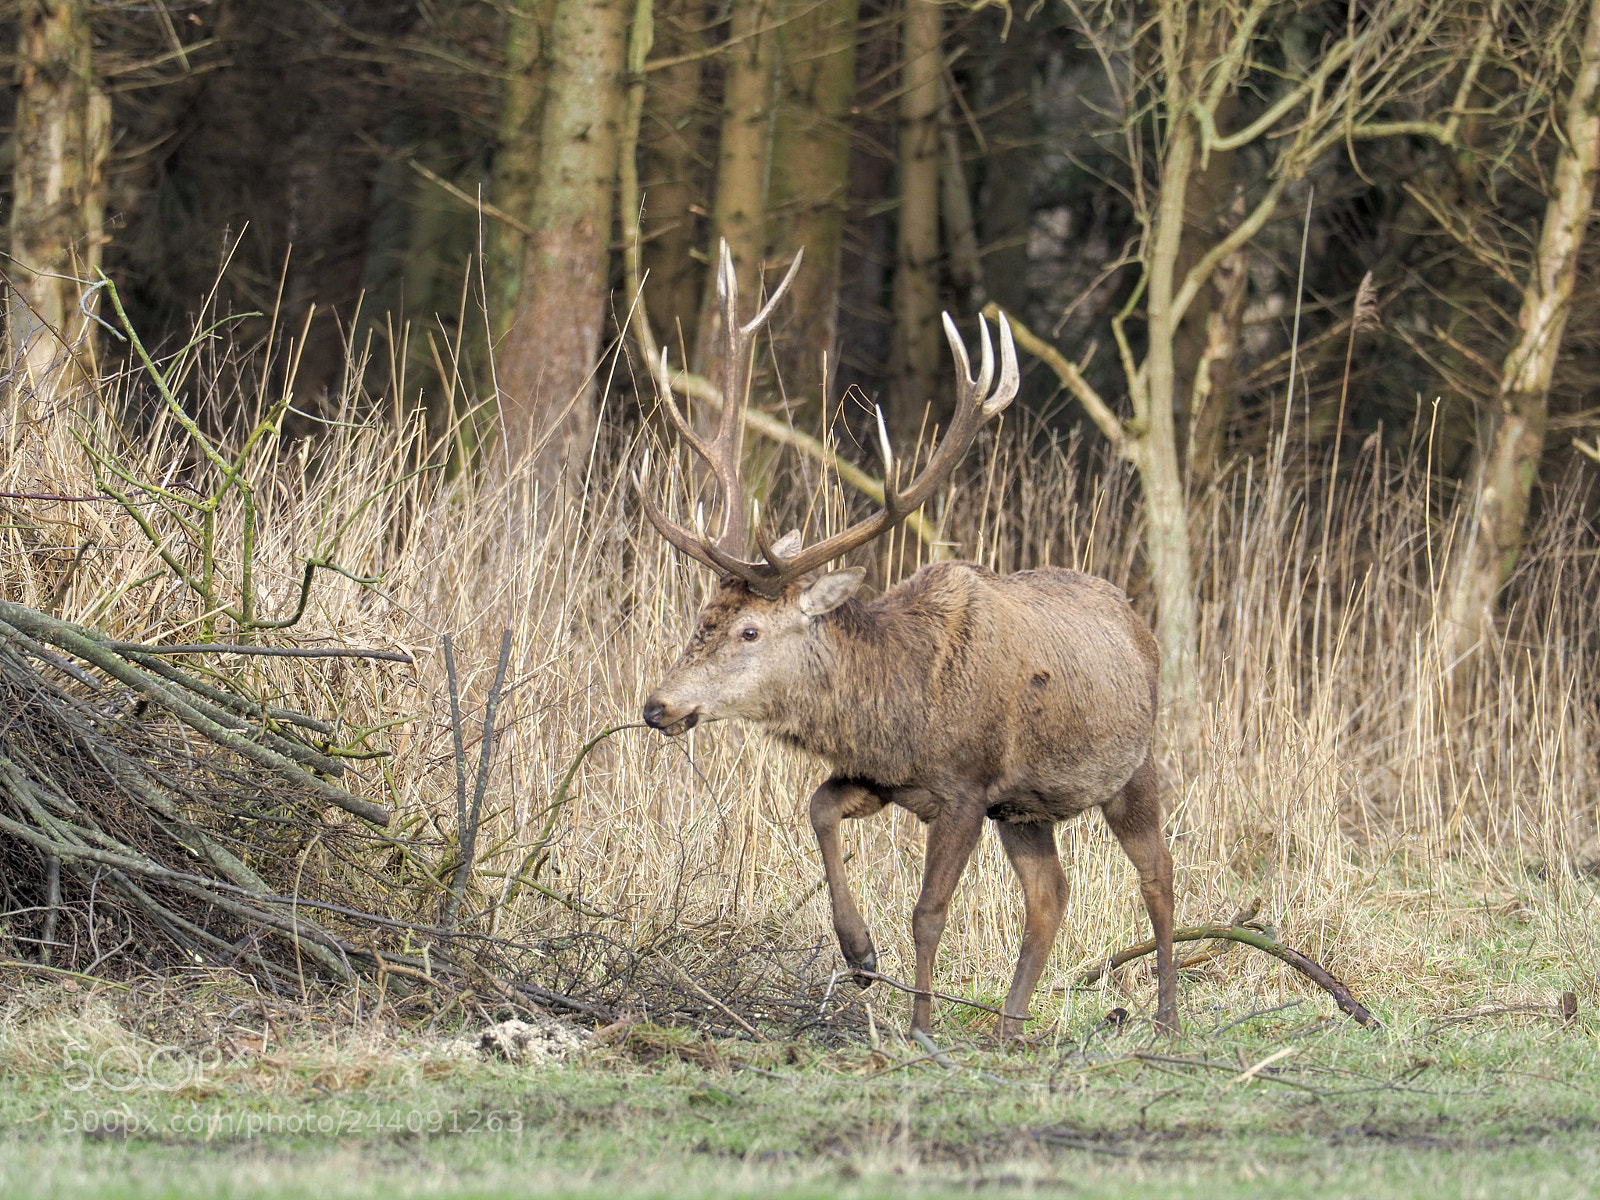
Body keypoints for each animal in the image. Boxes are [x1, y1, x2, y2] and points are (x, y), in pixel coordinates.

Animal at [636, 243, 1178, 1037]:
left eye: (749, 629)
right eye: (698, 616)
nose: (659, 707)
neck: (901, 710)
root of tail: (1138, 621)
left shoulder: (966, 790)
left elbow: (928, 911)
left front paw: (920, 1025)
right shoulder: (887, 777)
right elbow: (818, 807)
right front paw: (859, 955)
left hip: (1132, 766)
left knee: (1157, 876)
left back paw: (1166, 1016)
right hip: (1026, 809)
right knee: (1051, 893)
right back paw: (1010, 1026)